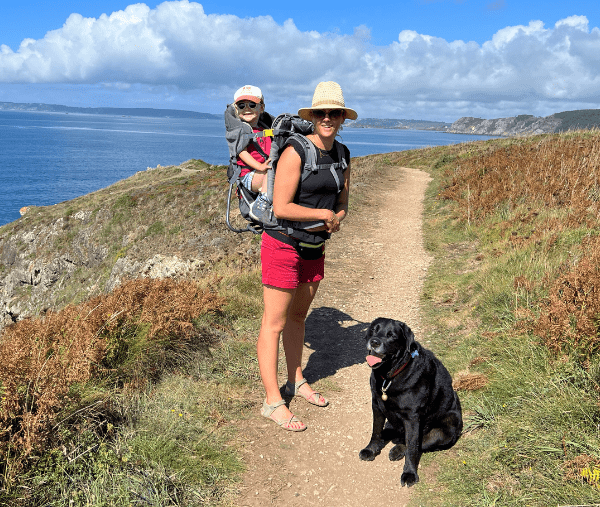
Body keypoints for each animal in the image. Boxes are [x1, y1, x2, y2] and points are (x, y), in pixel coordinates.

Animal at [358, 318, 462, 488]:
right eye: (373, 330)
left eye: (392, 335)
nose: (374, 342)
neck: (390, 375)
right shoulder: (377, 405)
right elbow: (376, 431)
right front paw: (371, 449)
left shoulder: (412, 418)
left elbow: (412, 446)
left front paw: (409, 473)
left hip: (446, 428)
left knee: (418, 443)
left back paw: (398, 450)